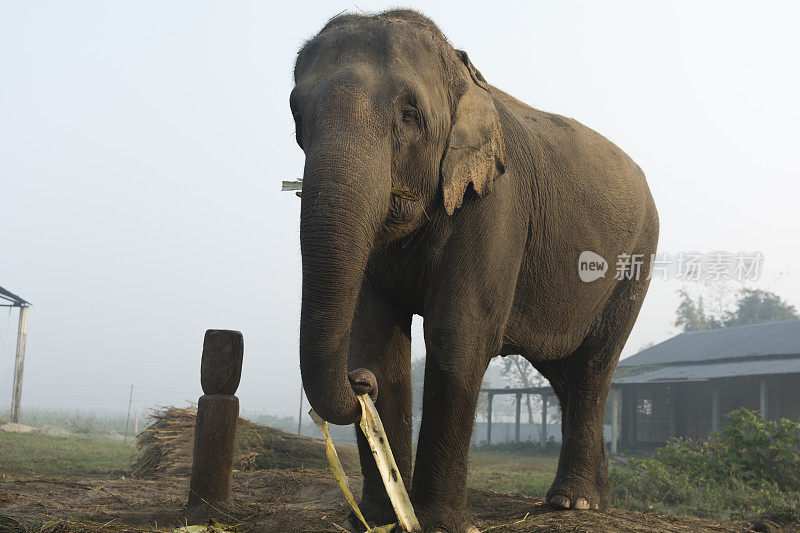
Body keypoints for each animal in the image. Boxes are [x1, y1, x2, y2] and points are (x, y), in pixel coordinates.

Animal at [290, 8, 660, 532]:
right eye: (297, 116)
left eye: (409, 114)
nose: (359, 383)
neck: (463, 78)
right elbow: (376, 336)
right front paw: (384, 517)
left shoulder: (495, 205)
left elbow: (459, 332)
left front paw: (437, 522)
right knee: (565, 375)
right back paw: (590, 502)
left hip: (635, 262)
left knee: (593, 366)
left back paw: (574, 503)